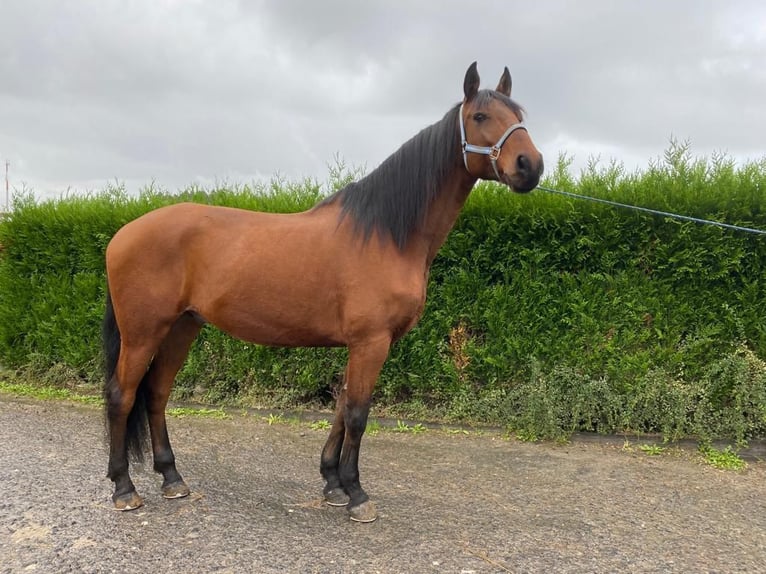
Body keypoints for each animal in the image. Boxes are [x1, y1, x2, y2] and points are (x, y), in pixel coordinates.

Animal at [103, 60, 544, 524]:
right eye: (480, 116)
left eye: (519, 116)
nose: (530, 165)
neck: (386, 235)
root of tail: (123, 234)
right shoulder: (371, 341)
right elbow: (358, 413)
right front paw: (357, 493)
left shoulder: (362, 344)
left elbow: (341, 408)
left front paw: (333, 483)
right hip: (143, 333)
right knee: (121, 396)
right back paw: (124, 488)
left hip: (181, 328)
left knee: (156, 393)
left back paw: (172, 478)